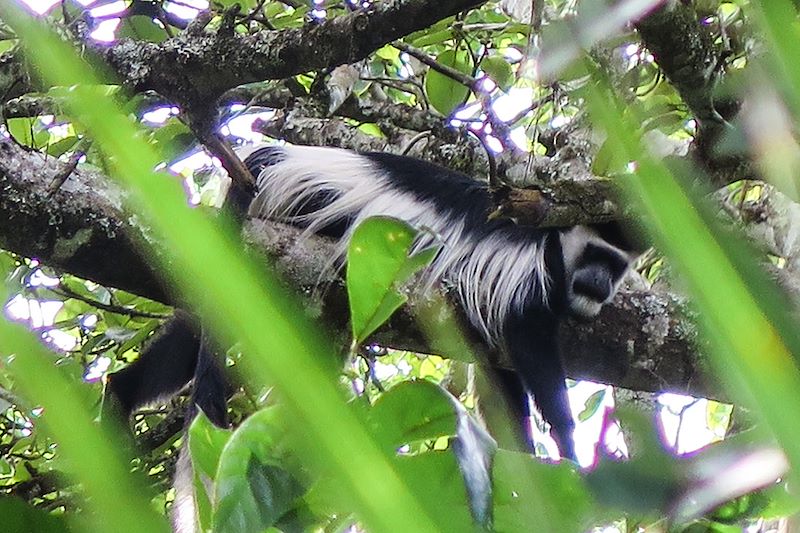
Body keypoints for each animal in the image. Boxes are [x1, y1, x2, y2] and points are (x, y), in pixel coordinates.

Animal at [109, 143, 640, 460]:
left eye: (616, 266)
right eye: (595, 256)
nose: (598, 285)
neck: (554, 241)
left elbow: (502, 377)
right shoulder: (524, 278)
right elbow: (526, 341)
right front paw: (568, 446)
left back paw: (120, 395)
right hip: (320, 211)